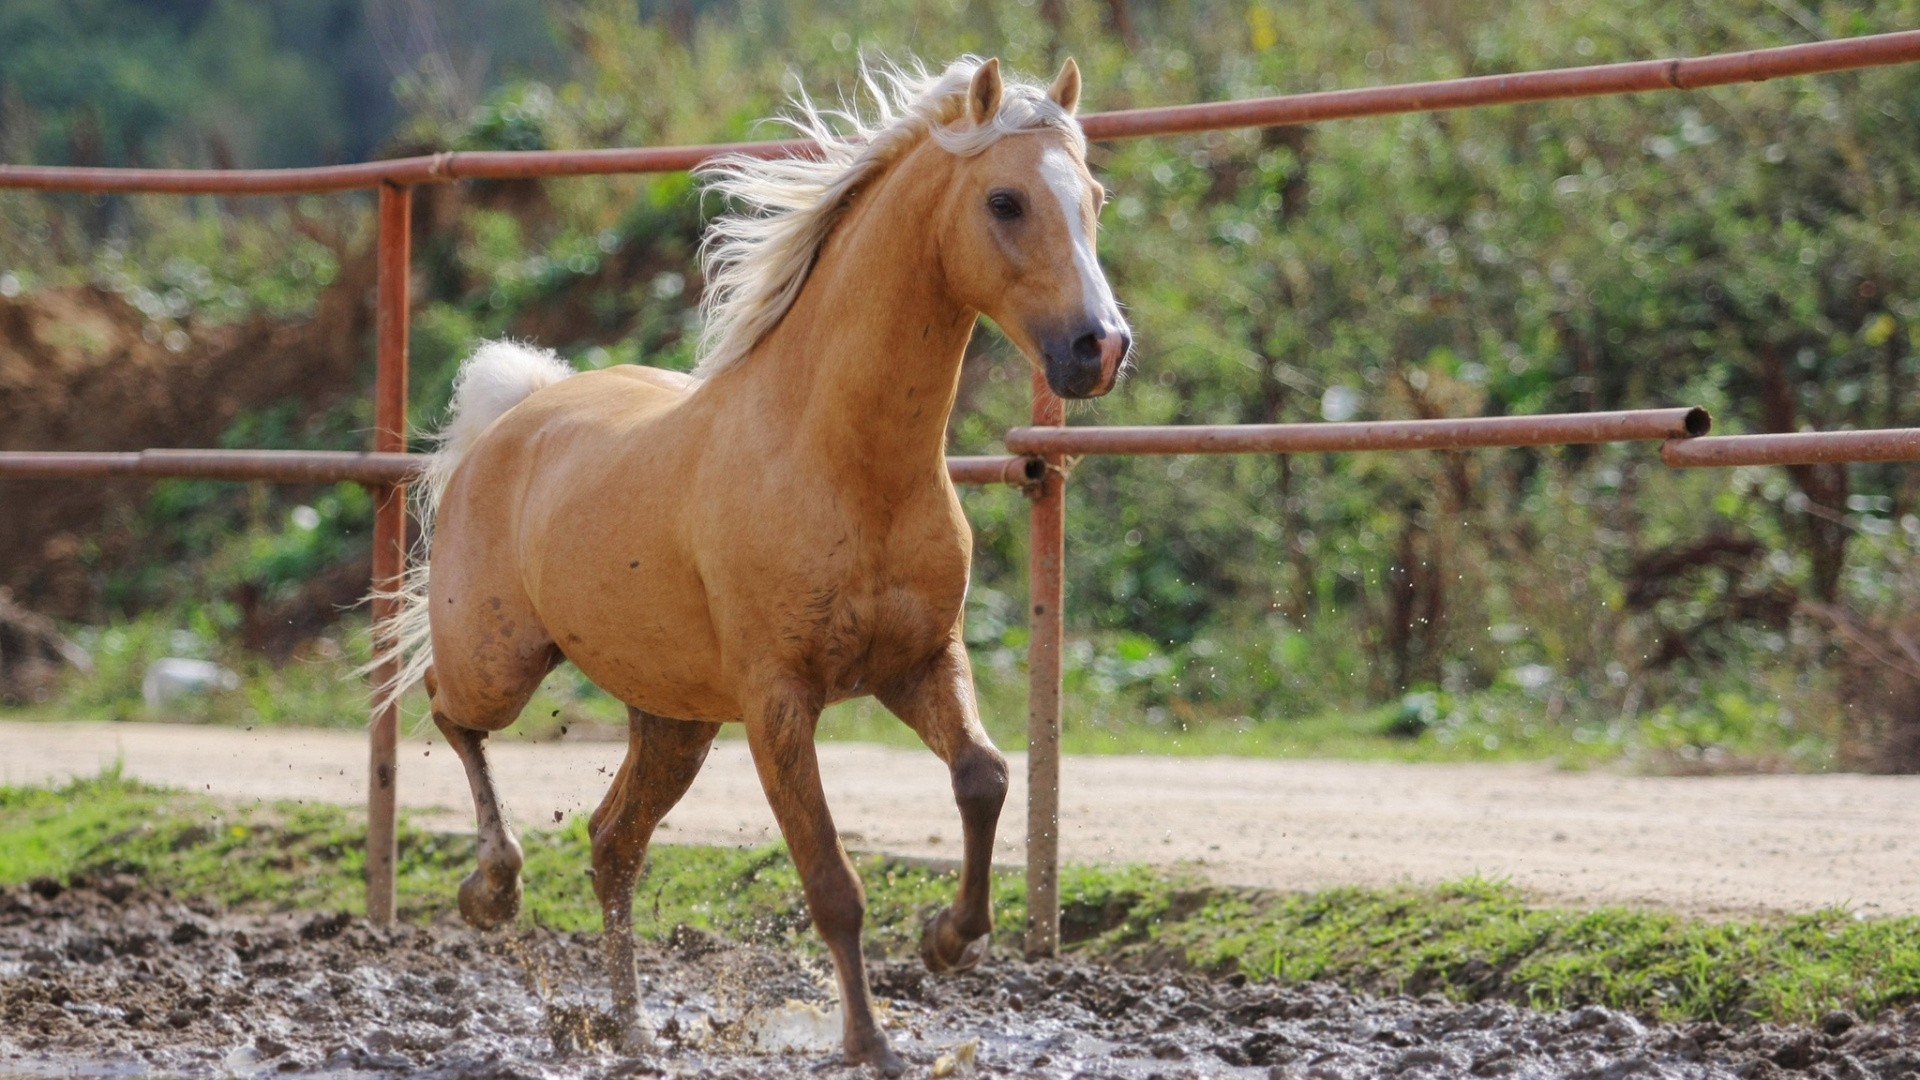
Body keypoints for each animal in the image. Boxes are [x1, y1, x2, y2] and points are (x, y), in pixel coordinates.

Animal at [372, 54, 1121, 1068]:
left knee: (612, 844)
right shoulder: (778, 702)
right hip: (502, 661)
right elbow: (832, 881)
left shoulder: (922, 661)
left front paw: (948, 940)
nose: (1100, 347)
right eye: (1005, 200)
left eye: (1093, 197)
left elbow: (986, 775)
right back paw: (494, 889)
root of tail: (518, 412)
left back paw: (632, 1029)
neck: (842, 461)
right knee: (451, 712)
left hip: (674, 719)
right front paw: (869, 1044)